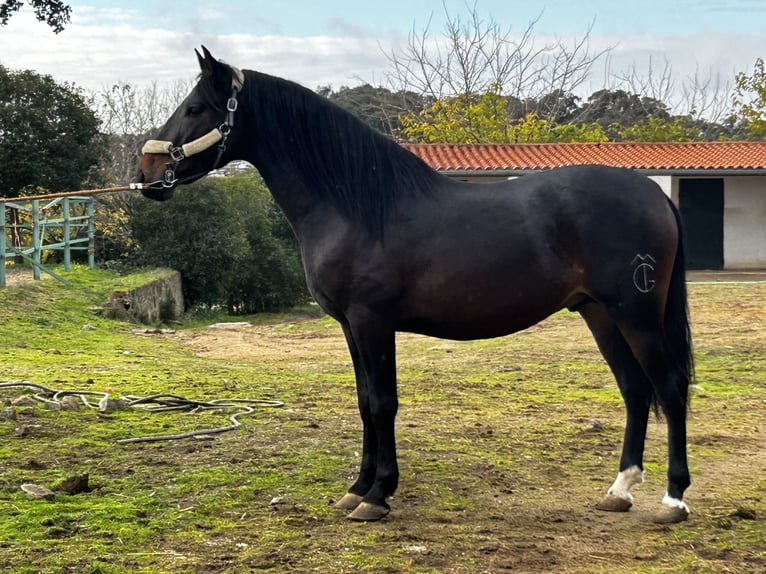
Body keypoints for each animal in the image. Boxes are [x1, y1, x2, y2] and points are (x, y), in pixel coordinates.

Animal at [134, 48, 696, 528]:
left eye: (196, 107)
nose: (145, 172)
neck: (357, 206)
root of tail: (653, 192)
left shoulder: (373, 322)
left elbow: (384, 403)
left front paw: (379, 496)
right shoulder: (350, 327)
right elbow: (365, 401)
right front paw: (357, 488)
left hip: (636, 314)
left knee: (669, 388)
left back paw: (673, 499)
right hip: (599, 313)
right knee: (635, 390)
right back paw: (619, 491)